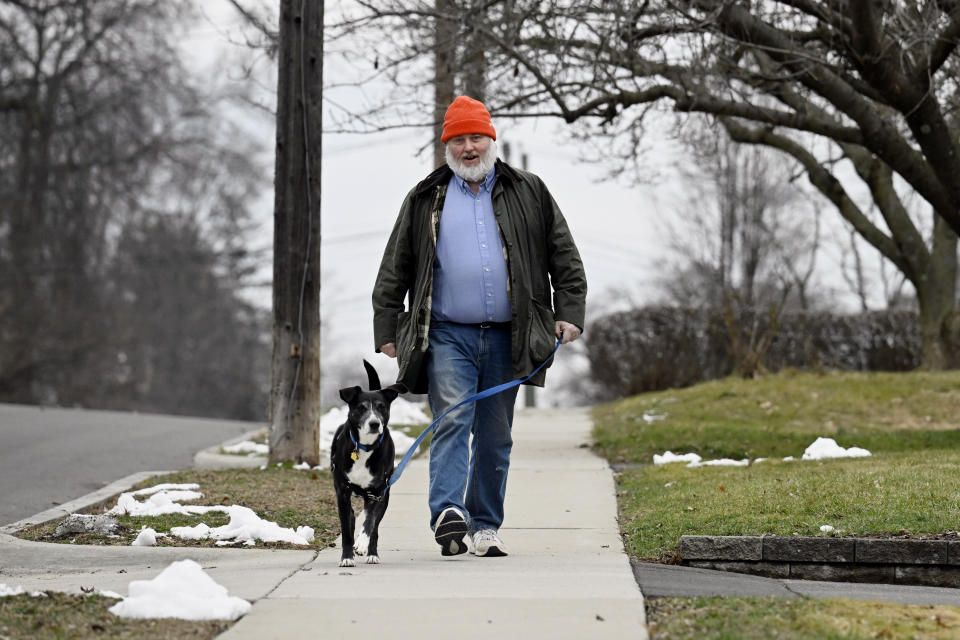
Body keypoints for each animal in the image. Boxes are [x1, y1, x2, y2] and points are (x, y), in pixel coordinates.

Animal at [330, 362, 404, 568]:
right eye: (361, 407)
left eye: (381, 407)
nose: (374, 423)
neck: (365, 446)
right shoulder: (342, 493)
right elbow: (346, 531)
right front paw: (347, 557)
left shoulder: (378, 493)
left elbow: (370, 522)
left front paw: (362, 544)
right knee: (352, 520)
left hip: (383, 497)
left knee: (375, 527)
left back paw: (372, 553)